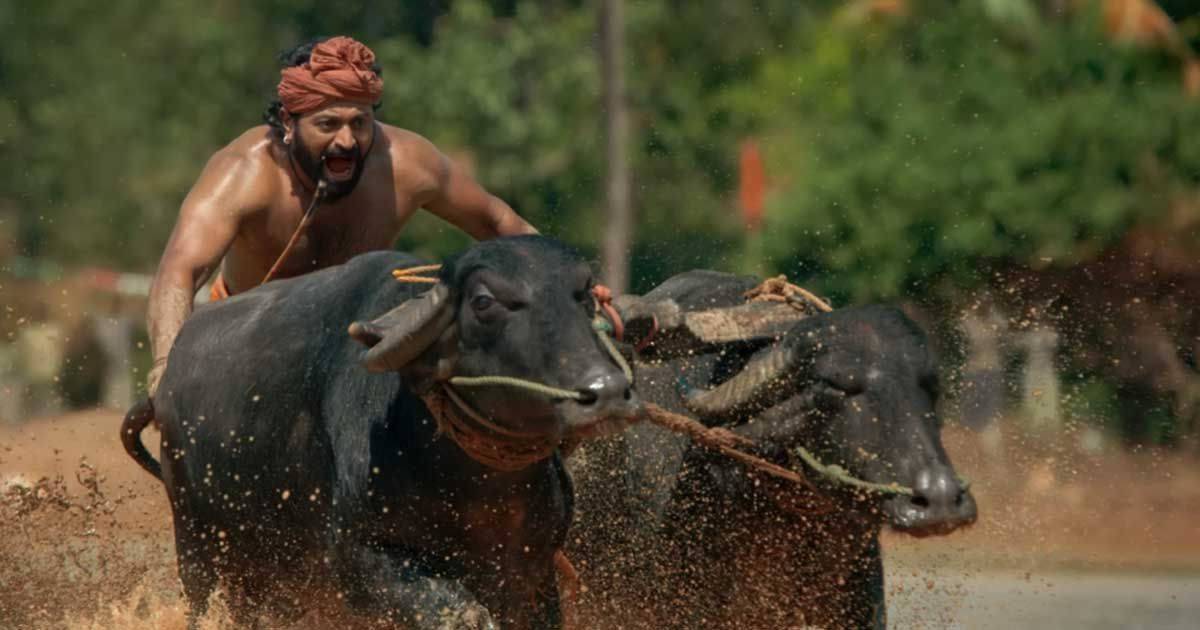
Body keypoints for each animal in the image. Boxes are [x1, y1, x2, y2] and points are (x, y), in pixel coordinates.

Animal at [120, 237, 643, 628]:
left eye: (583, 294)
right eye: (484, 302)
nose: (607, 390)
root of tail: (167, 382)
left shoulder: (532, 573)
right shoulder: (361, 564)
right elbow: (459, 614)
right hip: (201, 552)